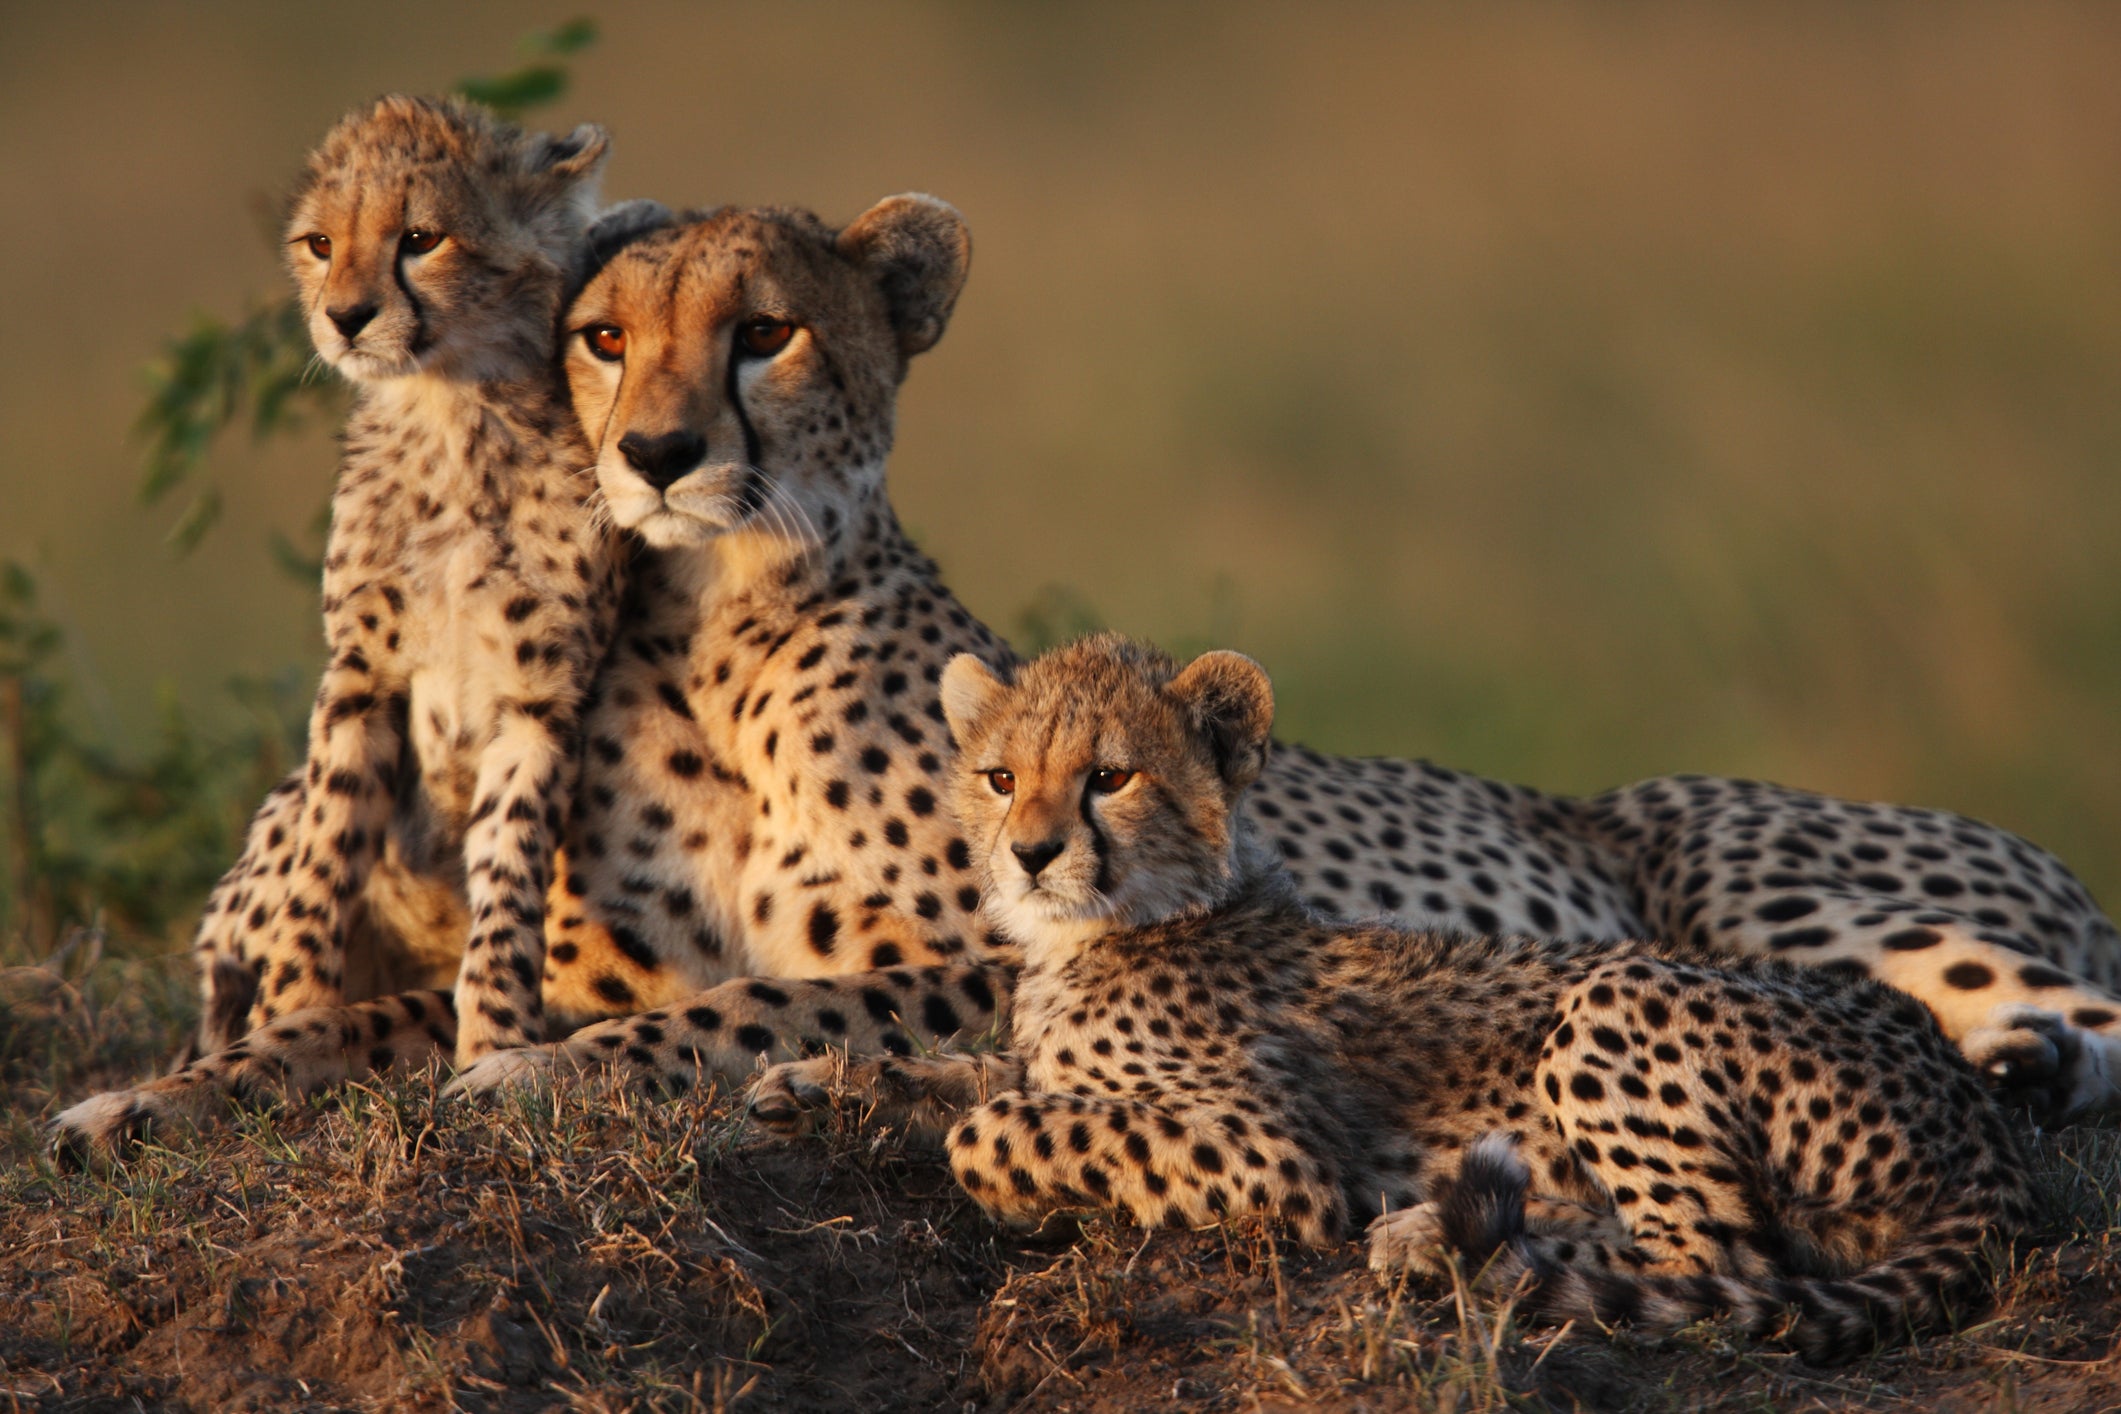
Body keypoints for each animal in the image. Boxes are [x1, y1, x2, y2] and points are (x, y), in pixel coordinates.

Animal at [755, 635, 2027, 1365]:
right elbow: (966, 1070)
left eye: (1109, 775)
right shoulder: (1040, 1052)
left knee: (1728, 1257)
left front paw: (1012, 1178)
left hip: (1618, 993)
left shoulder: (1275, 1153)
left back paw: (1447, 1246)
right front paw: (814, 1081)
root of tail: (1970, 1097)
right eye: (1000, 775)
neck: (1124, 924)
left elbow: (993, 1124)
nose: (1026, 853)